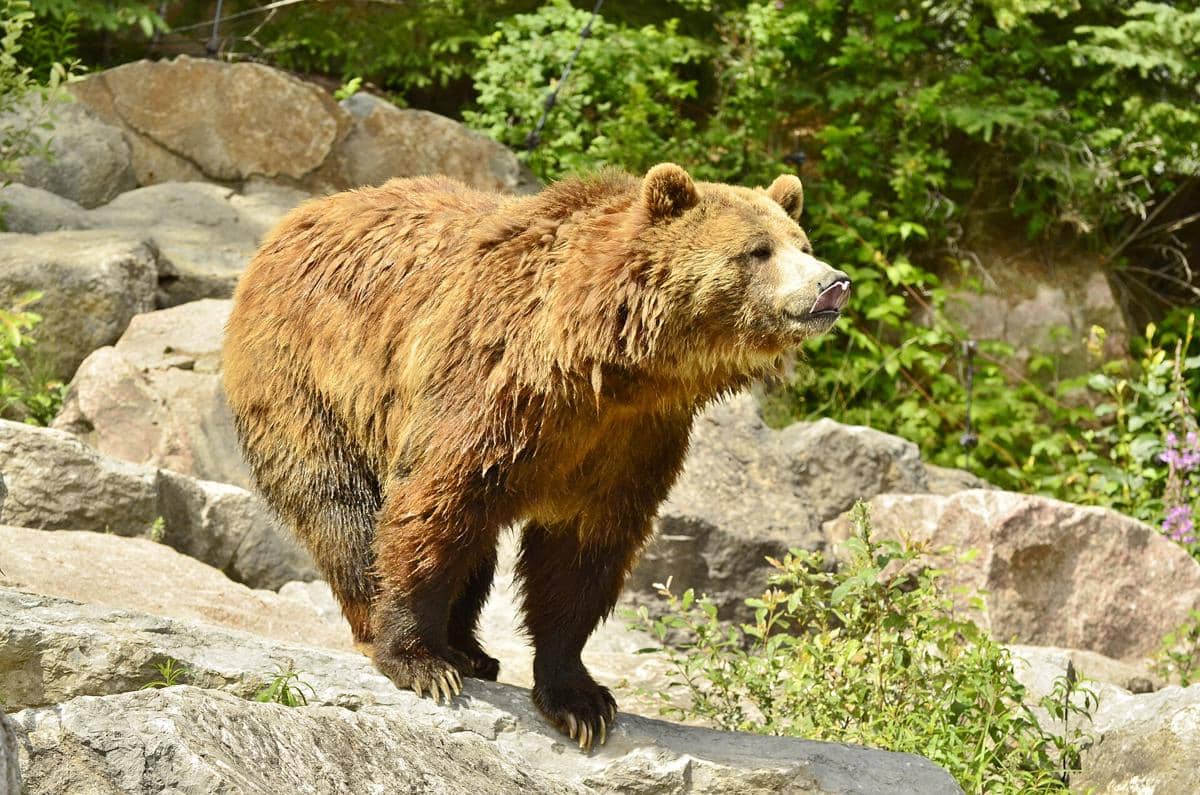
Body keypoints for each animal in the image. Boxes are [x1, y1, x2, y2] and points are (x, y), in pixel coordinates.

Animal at [222, 163, 850, 750]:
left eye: (801, 243)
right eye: (758, 251)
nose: (833, 284)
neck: (608, 365)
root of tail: (292, 222)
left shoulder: (632, 439)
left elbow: (581, 555)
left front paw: (580, 701)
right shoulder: (494, 389)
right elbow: (434, 505)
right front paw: (419, 661)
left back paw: (472, 650)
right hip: (307, 379)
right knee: (341, 509)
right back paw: (390, 628)